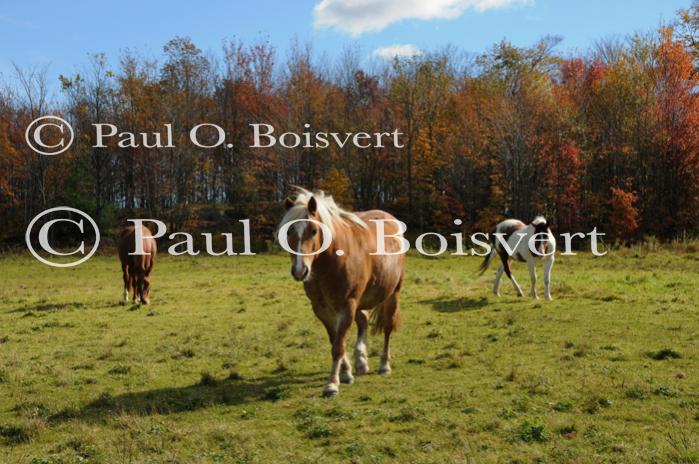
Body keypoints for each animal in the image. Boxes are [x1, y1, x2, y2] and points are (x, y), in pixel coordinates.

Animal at [278, 188, 405, 397]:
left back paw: (384, 365)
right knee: (363, 322)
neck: (332, 261)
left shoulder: (347, 305)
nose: (300, 270)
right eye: (289, 231)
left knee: (387, 326)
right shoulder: (322, 309)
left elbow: (338, 345)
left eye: (313, 230)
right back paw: (361, 362)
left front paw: (332, 384)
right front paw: (346, 373)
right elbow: (335, 340)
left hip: (392, 294)